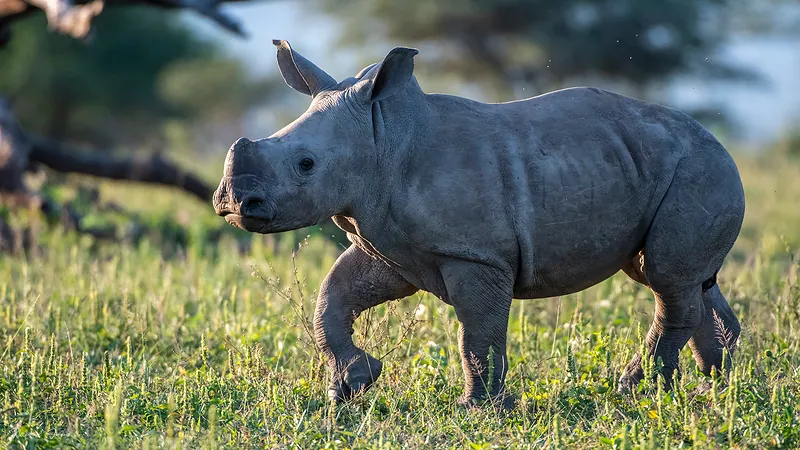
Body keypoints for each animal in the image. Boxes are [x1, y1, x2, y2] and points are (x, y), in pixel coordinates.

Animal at [213, 40, 745, 406]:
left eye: (306, 165)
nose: (233, 203)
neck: (384, 139)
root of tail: (722, 145)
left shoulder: (474, 254)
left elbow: (477, 332)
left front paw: (479, 408)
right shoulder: (389, 243)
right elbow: (333, 297)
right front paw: (351, 386)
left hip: (699, 171)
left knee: (666, 277)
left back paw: (635, 389)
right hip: (657, 167)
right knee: (676, 277)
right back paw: (716, 388)